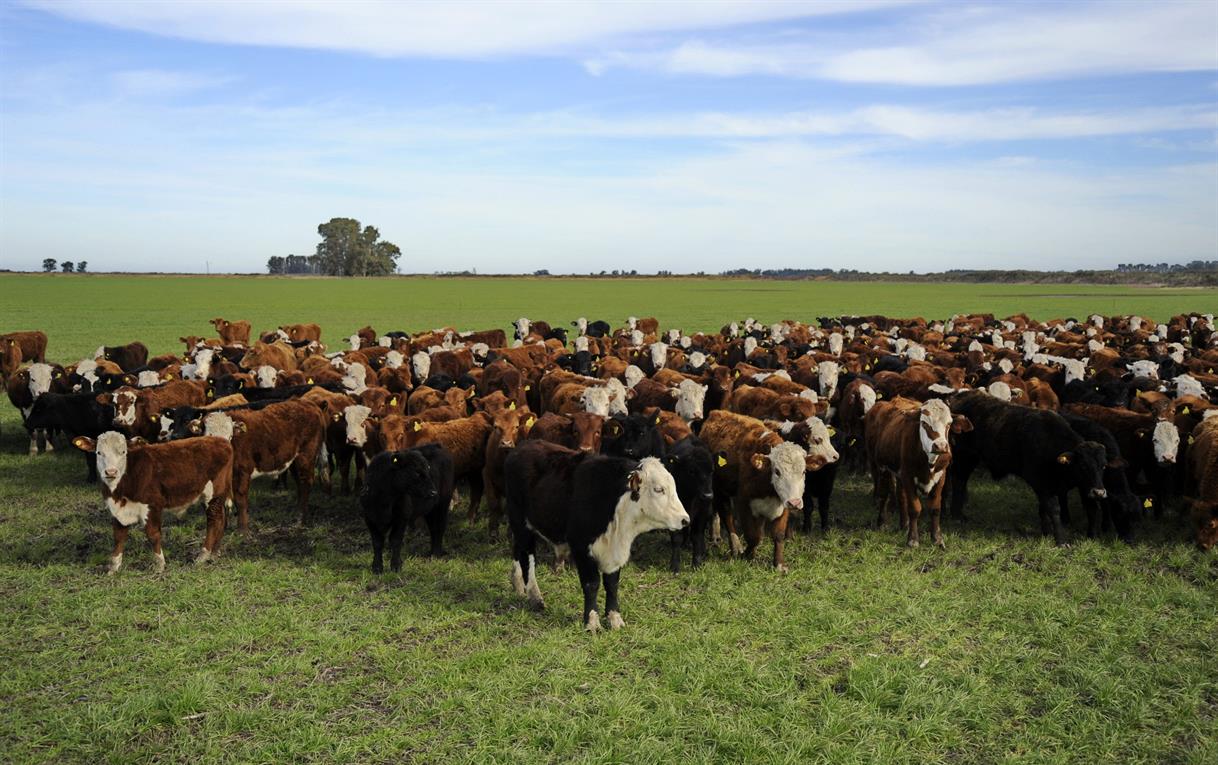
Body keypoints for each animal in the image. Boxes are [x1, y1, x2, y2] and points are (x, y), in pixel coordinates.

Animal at [70, 431, 232, 574]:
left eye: (123, 452)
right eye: (99, 453)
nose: (111, 472)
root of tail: (221, 440)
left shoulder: (151, 505)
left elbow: (153, 535)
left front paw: (159, 564)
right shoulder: (117, 511)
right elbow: (119, 537)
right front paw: (113, 567)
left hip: (213, 494)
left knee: (213, 521)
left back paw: (203, 555)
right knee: (221, 519)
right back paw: (214, 552)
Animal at [362, 443, 457, 574]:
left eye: (427, 470)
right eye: (416, 472)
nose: (433, 492)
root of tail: (436, 445)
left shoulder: (402, 518)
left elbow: (395, 540)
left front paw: (396, 566)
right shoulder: (370, 518)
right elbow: (377, 542)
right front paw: (377, 568)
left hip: (443, 503)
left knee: (440, 527)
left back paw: (436, 554)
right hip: (430, 509)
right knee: (433, 528)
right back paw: (432, 553)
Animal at [504, 438, 691, 628]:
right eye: (659, 489)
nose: (685, 519)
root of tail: (525, 445)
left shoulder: (614, 551)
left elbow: (612, 584)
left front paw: (615, 619)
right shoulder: (581, 547)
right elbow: (591, 584)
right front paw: (592, 622)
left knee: (518, 550)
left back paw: (518, 584)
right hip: (520, 522)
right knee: (528, 557)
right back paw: (534, 596)